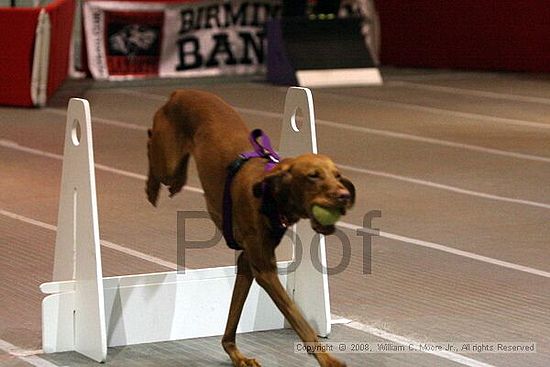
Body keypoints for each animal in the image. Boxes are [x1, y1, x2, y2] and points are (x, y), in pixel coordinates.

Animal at [147, 90, 356, 367]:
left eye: (337, 175)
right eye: (313, 175)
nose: (344, 196)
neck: (270, 195)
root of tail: (180, 92)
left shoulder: (248, 262)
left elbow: (232, 321)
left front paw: (236, 354)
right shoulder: (265, 270)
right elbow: (299, 320)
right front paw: (326, 359)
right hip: (166, 162)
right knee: (151, 144)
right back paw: (152, 187)